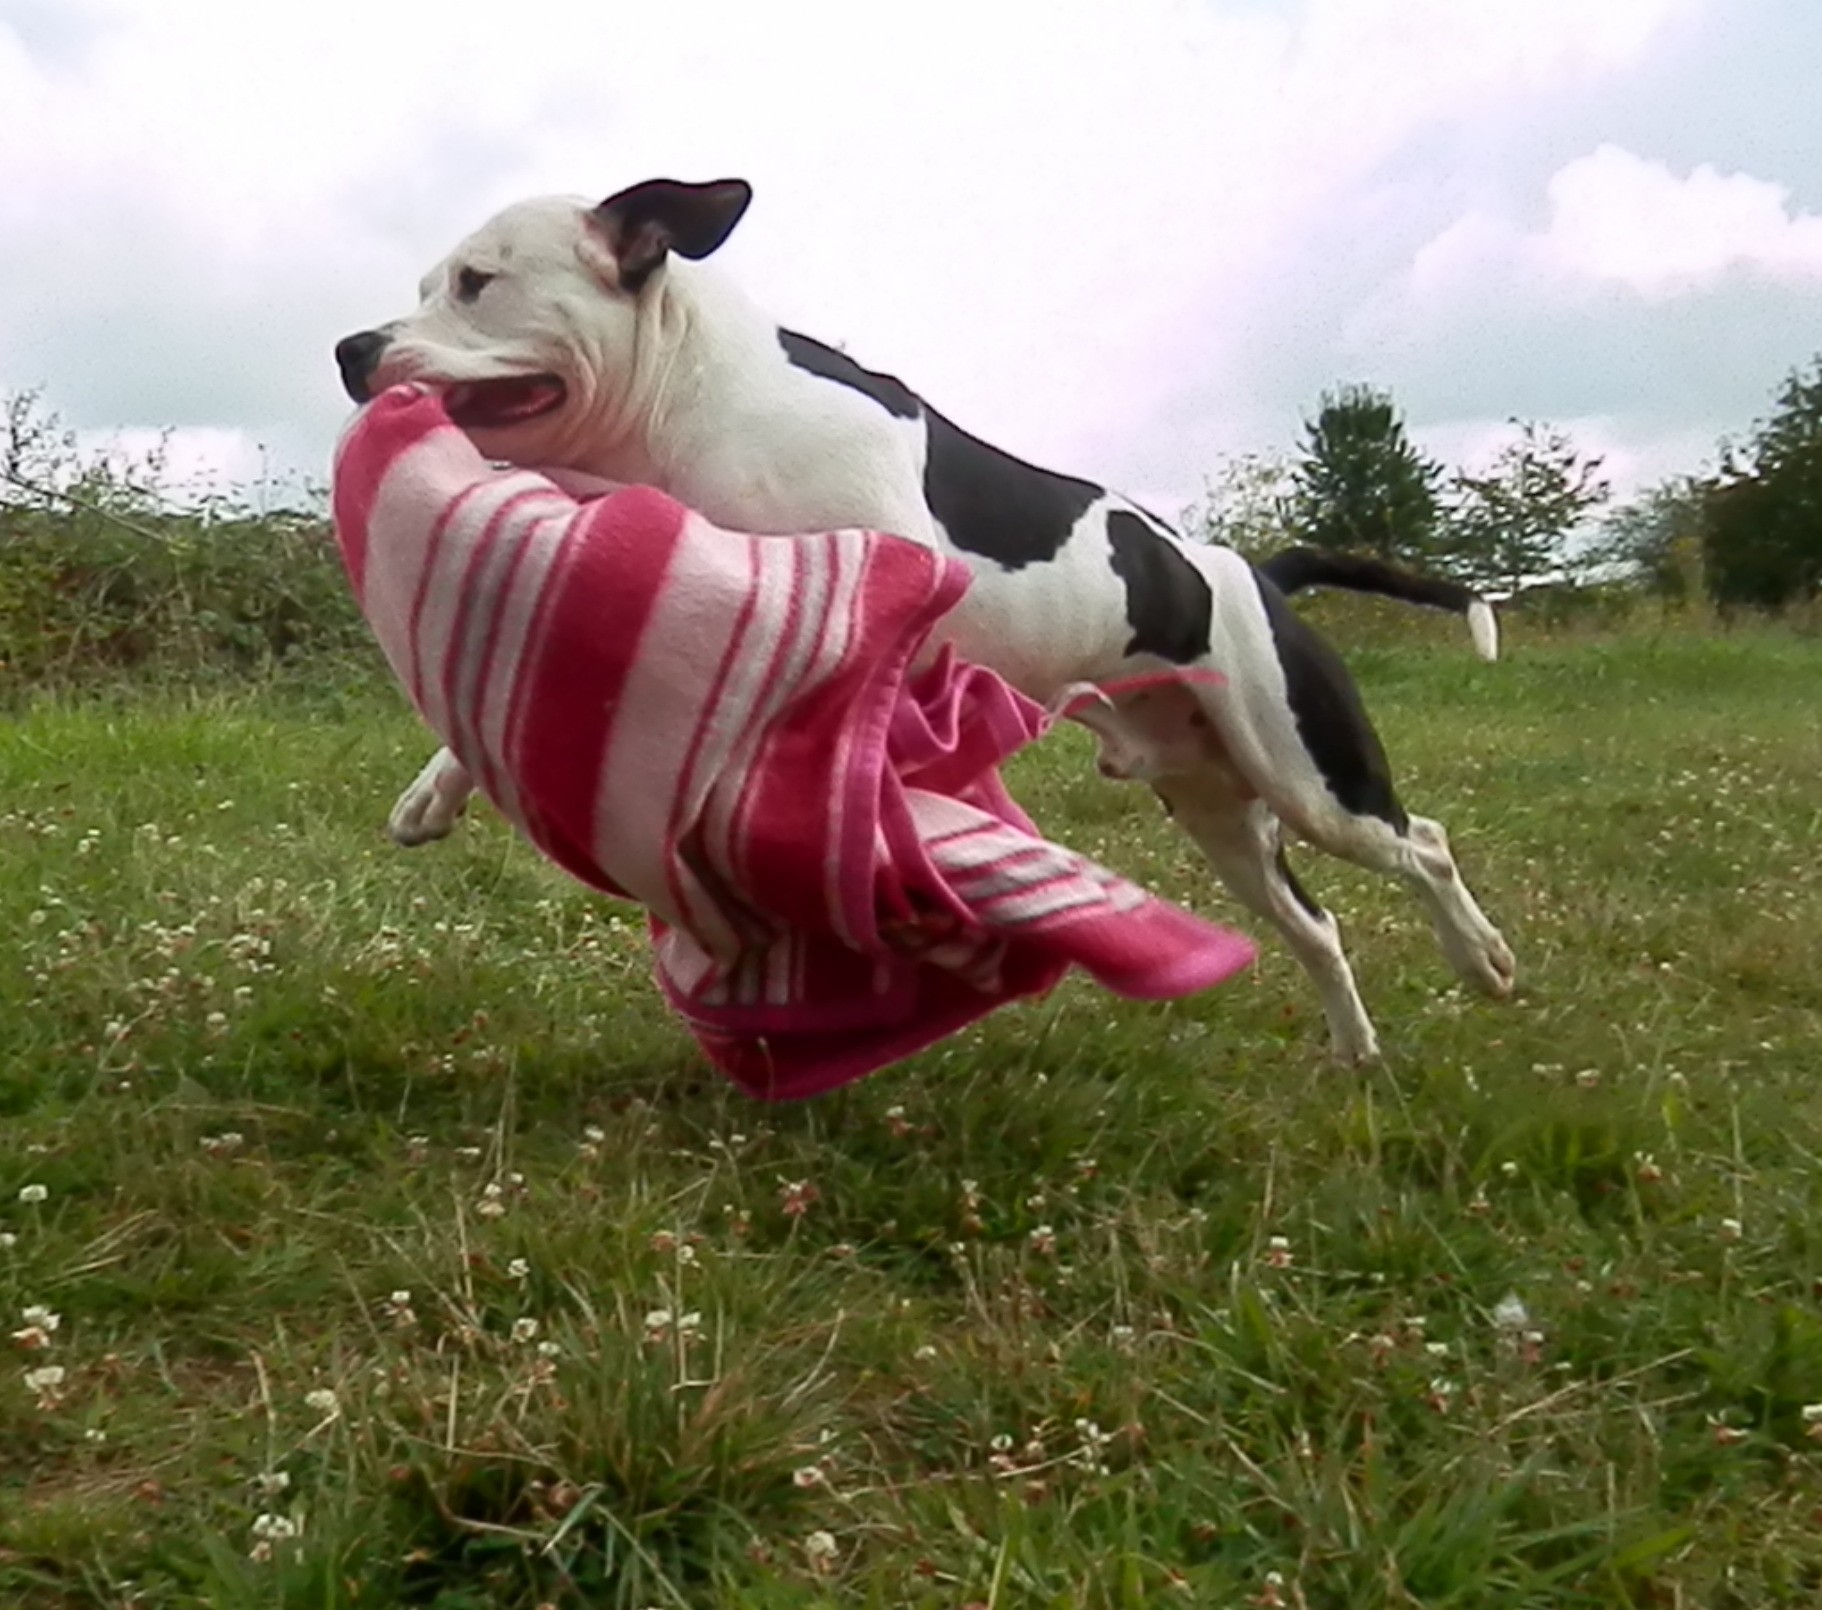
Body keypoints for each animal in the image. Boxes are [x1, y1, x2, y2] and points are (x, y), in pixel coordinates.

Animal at [335, 177, 1514, 1063]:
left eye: (477, 284)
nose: (351, 348)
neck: (692, 404)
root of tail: (1250, 571)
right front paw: (434, 788)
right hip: (1223, 812)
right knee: (1318, 924)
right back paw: (1357, 1049)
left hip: (1309, 776)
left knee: (1426, 843)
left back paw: (1483, 960)